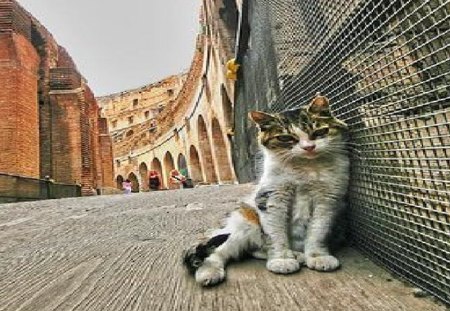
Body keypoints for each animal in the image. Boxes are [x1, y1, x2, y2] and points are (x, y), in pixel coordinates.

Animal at [184, 95, 352, 288]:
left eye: (319, 131)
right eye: (286, 138)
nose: (308, 147)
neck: (305, 167)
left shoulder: (328, 200)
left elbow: (318, 231)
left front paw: (318, 257)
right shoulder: (272, 198)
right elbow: (276, 233)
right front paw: (282, 260)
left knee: (255, 251)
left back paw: (298, 255)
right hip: (244, 224)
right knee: (217, 252)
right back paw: (209, 273)